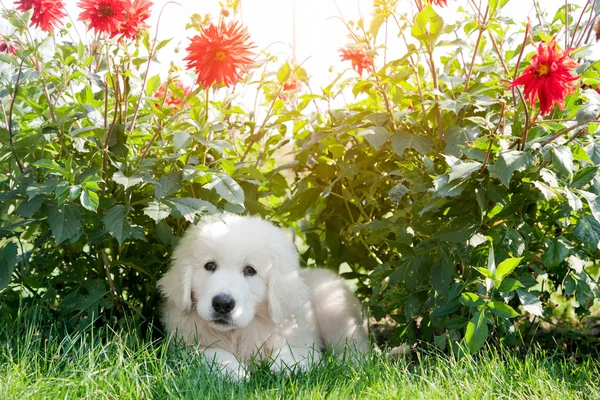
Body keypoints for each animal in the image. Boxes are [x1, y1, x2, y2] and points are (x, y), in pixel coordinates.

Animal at [157, 212, 368, 378]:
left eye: (250, 270)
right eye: (210, 266)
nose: (223, 304)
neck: (237, 333)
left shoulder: (303, 340)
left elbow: (296, 353)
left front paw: (285, 366)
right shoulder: (181, 345)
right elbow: (210, 352)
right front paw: (233, 369)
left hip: (331, 306)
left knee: (355, 344)